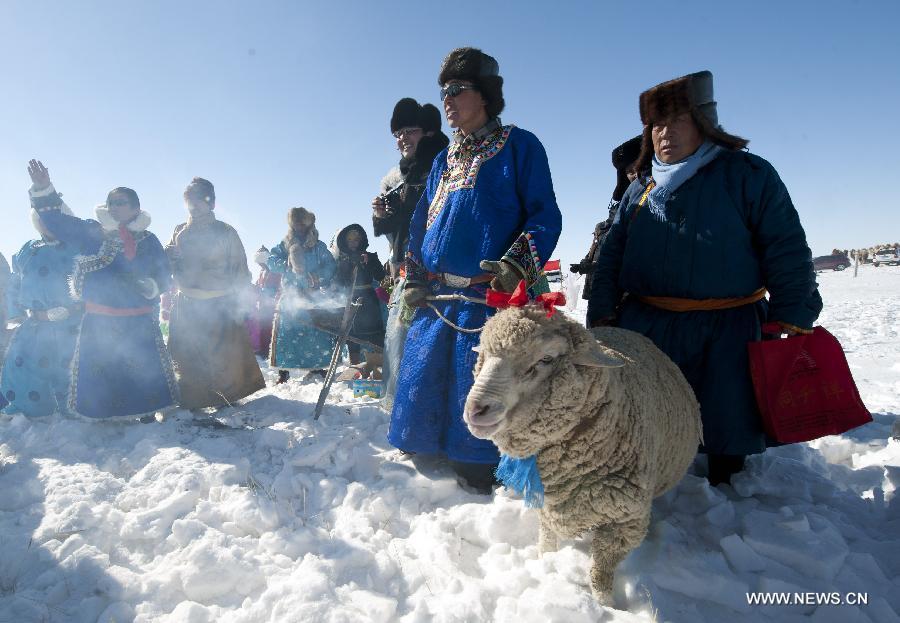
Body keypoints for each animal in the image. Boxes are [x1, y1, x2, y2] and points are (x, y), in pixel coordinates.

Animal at [464, 304, 704, 604]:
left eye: (546, 359)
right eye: (483, 354)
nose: (475, 410)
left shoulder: (624, 523)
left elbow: (600, 573)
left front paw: (606, 605)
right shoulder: (547, 504)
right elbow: (547, 540)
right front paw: (545, 562)